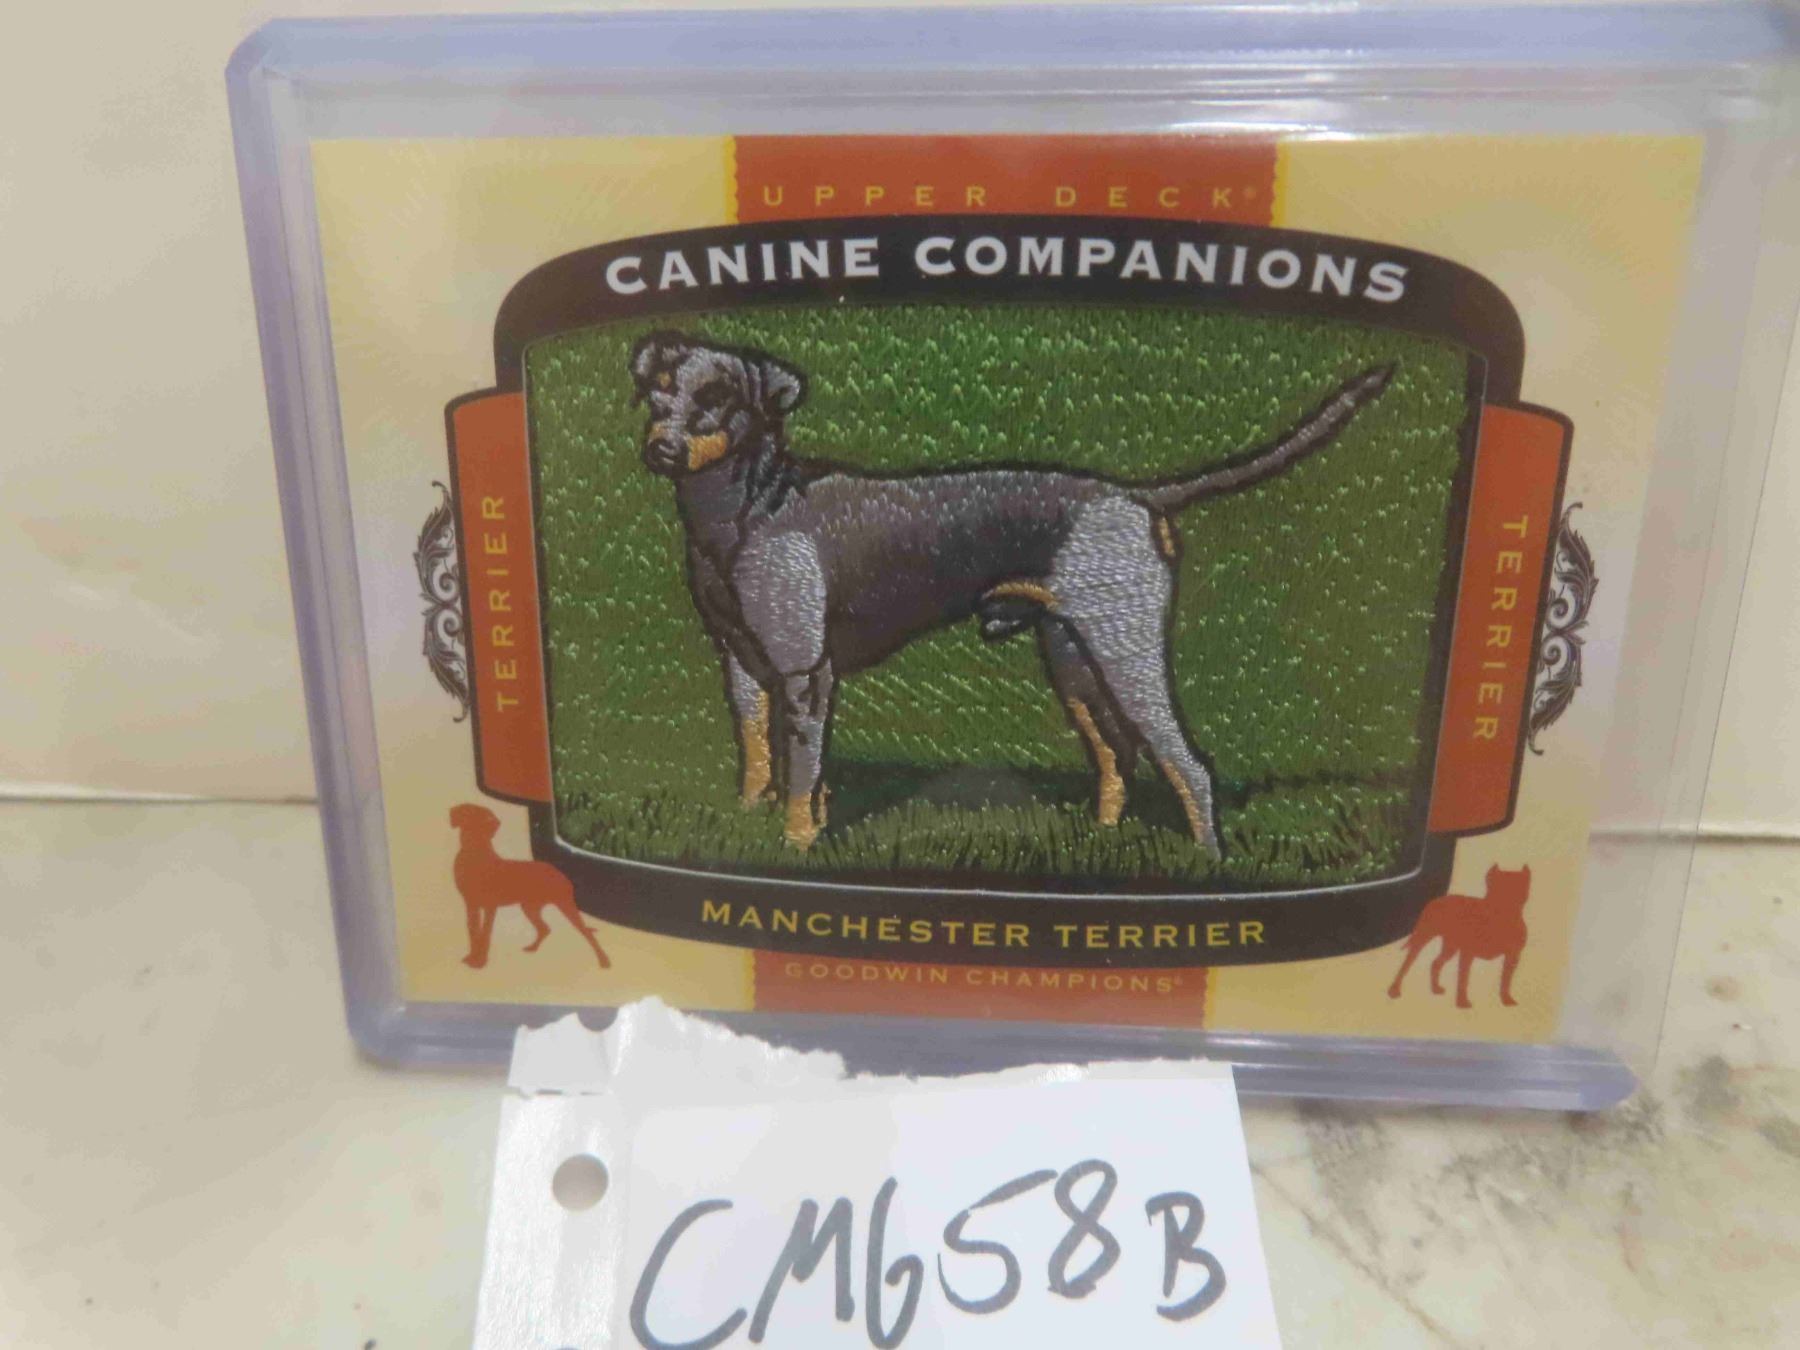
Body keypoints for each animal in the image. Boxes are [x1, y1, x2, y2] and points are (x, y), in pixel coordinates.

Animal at [449, 803, 610, 969]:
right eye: (469, 815)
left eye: (486, 819)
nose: (491, 823)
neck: (475, 855)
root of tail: (559, 872)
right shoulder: (471, 904)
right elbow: (473, 932)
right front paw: (472, 957)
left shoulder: (489, 906)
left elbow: (485, 933)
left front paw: (480, 961)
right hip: (530, 907)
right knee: (545, 929)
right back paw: (533, 948)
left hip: (565, 905)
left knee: (587, 933)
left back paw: (604, 961)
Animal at [629, 331, 1394, 854]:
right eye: (658, 394)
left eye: (717, 401)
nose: (661, 448)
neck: (750, 510)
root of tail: (1136, 495)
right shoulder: (745, 670)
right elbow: (763, 762)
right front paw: (754, 827)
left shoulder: (802, 674)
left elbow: (800, 775)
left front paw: (796, 845)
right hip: (1072, 660)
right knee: (1117, 757)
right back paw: (1101, 841)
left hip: (1126, 656)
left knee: (1187, 764)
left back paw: (1208, 863)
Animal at [1387, 864, 1530, 1009]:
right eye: (1496, 890)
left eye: (1519, 890)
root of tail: (1436, 900)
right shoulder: (1467, 954)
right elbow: (1463, 978)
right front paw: (1462, 1002)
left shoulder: (1513, 956)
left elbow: (1506, 981)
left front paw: (1506, 999)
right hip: (1423, 938)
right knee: (1407, 963)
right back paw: (1394, 989)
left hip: (1450, 947)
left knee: (1436, 963)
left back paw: (1435, 989)